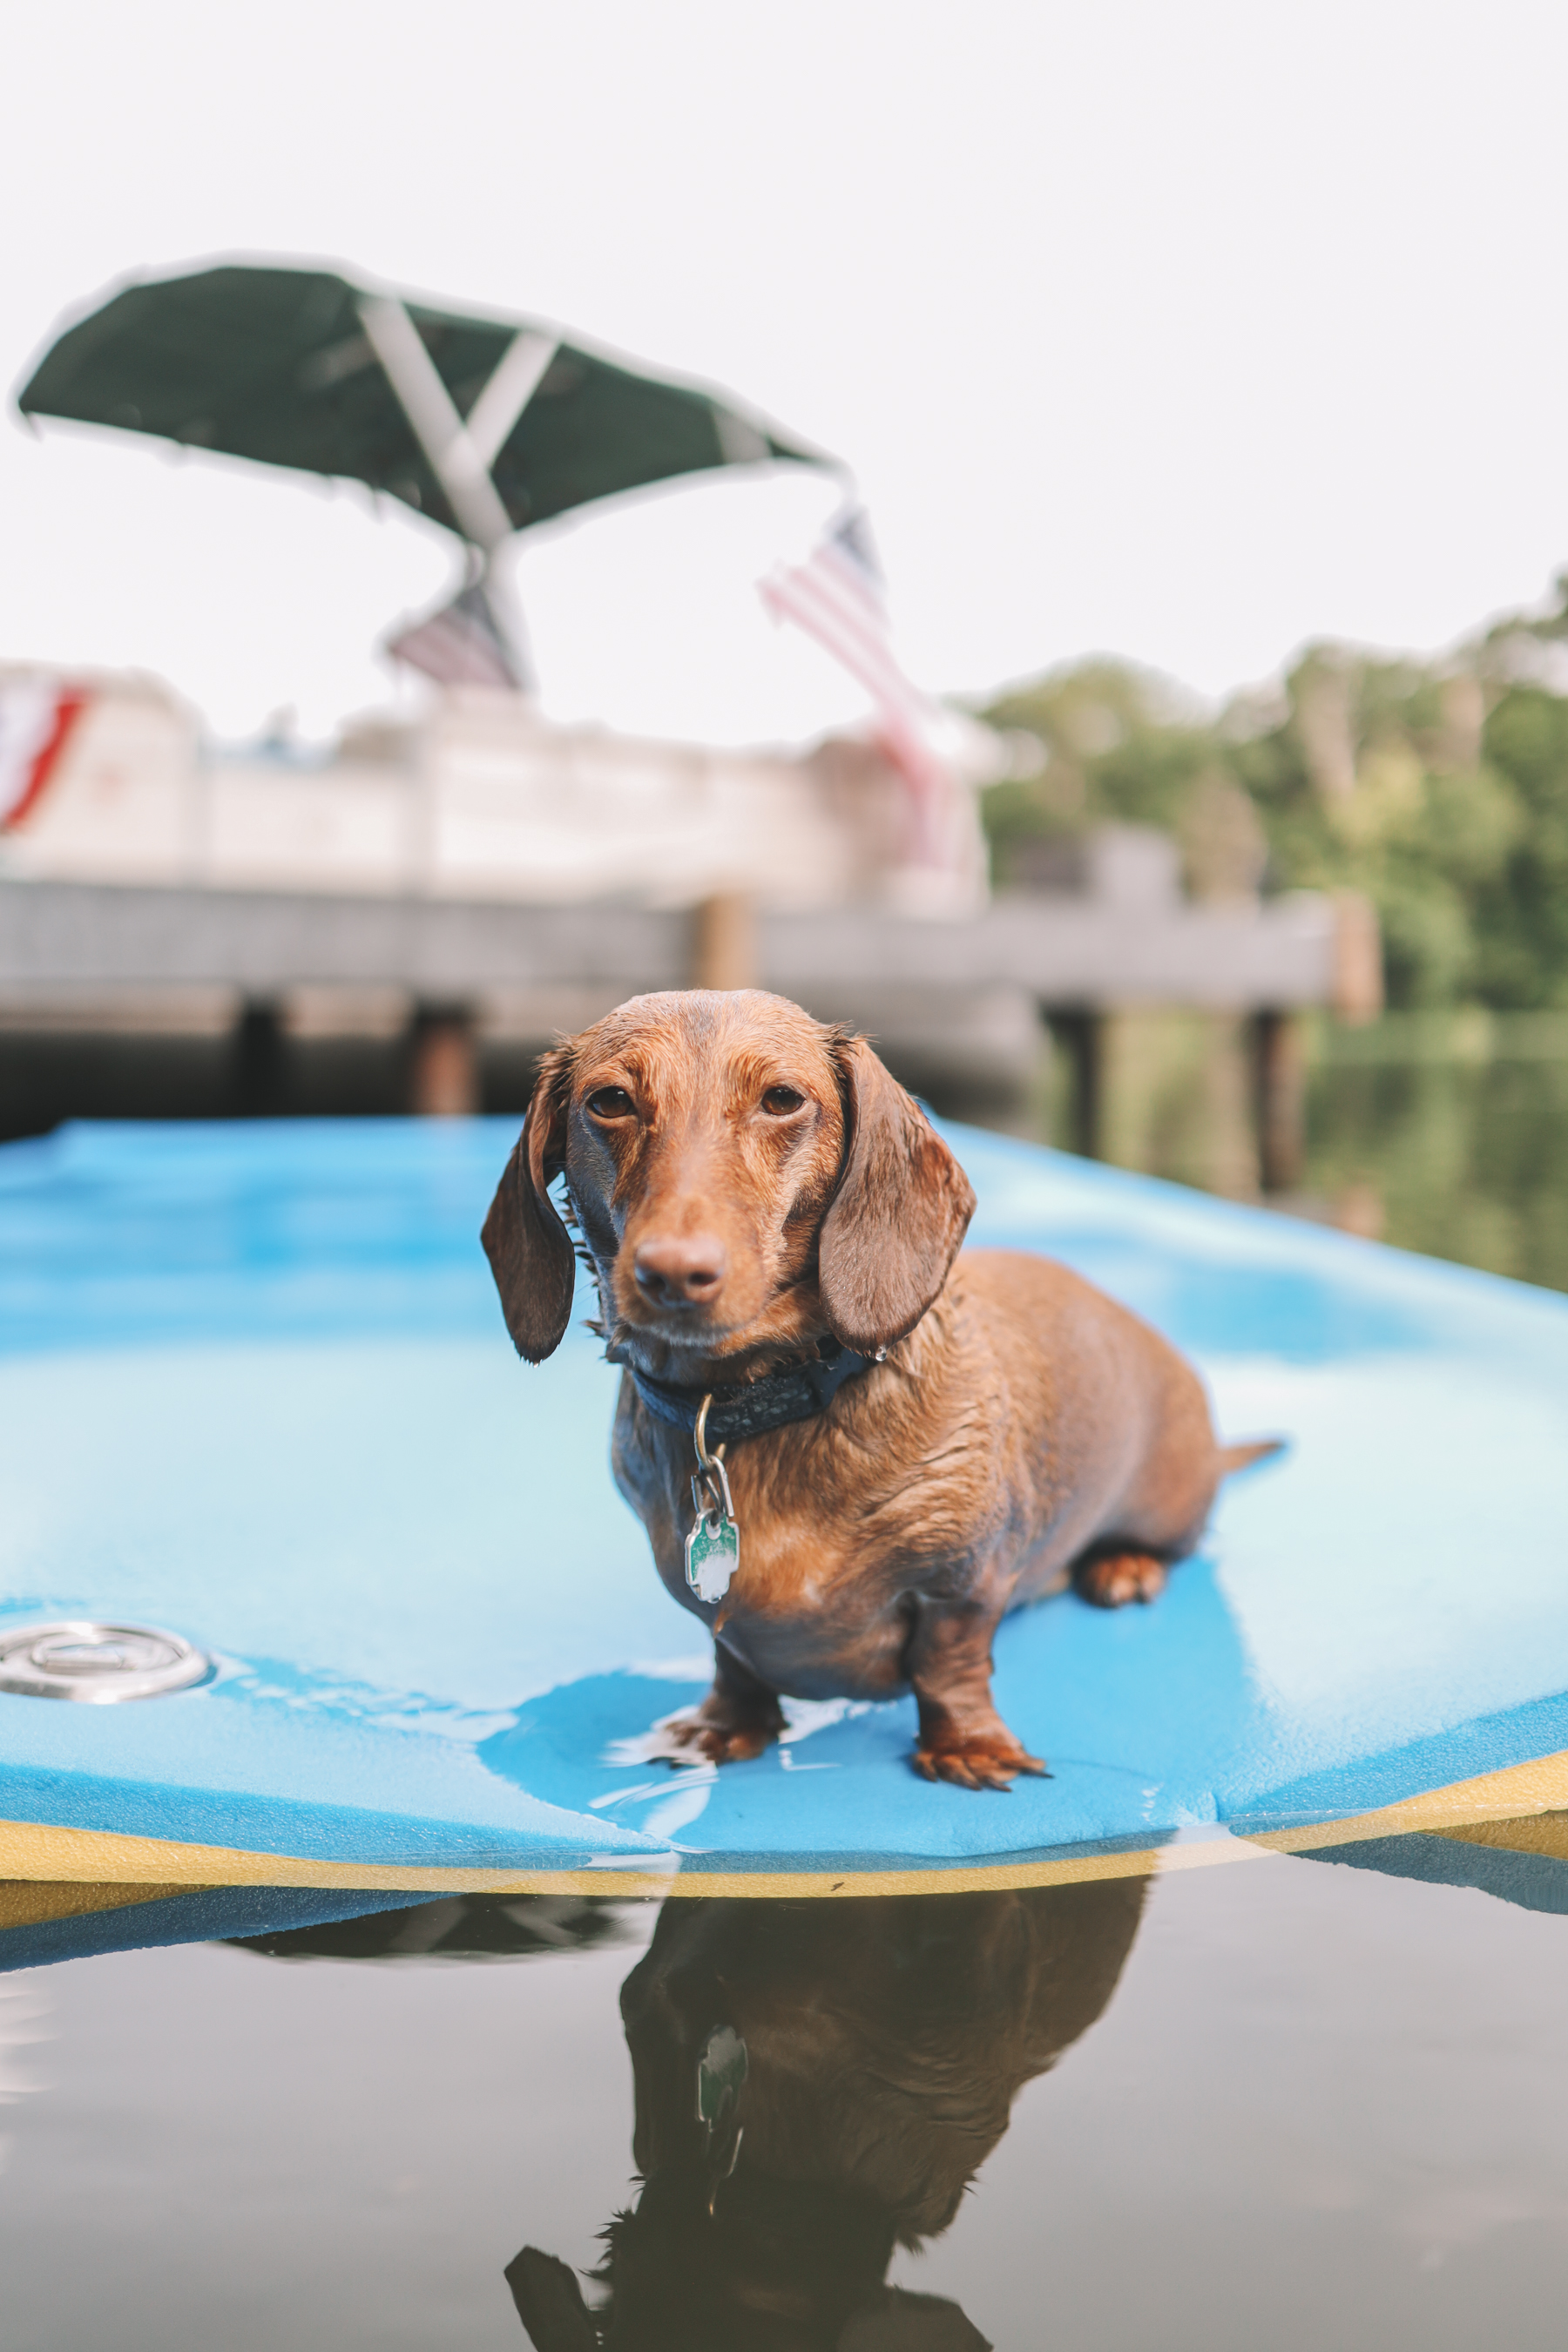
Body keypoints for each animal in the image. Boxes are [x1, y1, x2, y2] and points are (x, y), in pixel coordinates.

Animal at [483, 988, 1279, 1778]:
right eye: (610, 1101)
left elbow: (949, 1663)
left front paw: (967, 1746)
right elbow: (730, 1657)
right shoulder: (713, 1609)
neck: (749, 1406)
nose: (673, 1273)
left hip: (1167, 1504)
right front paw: (724, 1726)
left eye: (782, 1099)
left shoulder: (965, 1583)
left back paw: (1125, 1567)